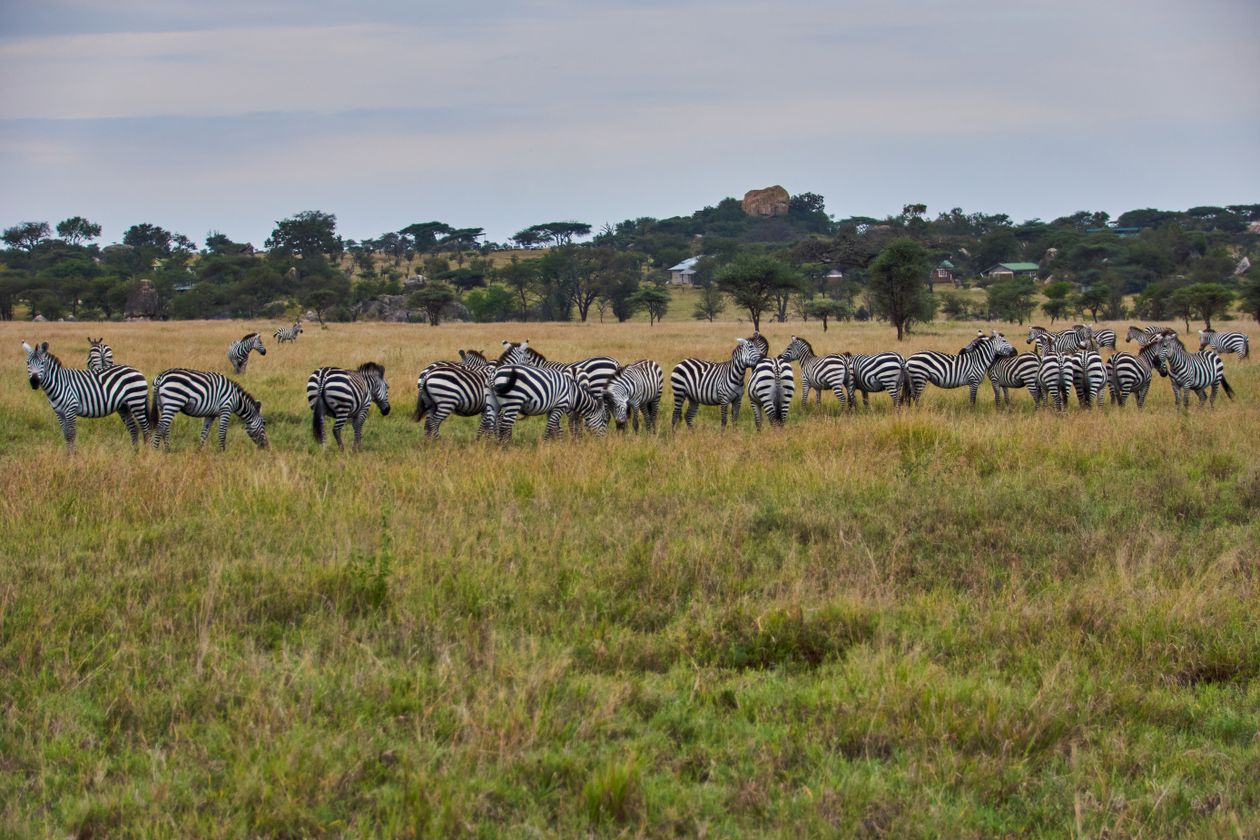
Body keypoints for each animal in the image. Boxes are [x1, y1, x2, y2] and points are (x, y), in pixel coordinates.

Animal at [22, 340, 150, 450]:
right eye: (27, 363)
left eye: (42, 363)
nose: (34, 382)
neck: (59, 383)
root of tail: (137, 370)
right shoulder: (59, 412)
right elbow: (65, 434)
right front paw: (67, 456)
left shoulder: (71, 409)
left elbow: (71, 434)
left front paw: (72, 457)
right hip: (124, 406)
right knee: (133, 429)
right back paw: (134, 452)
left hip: (136, 402)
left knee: (145, 428)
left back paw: (146, 453)